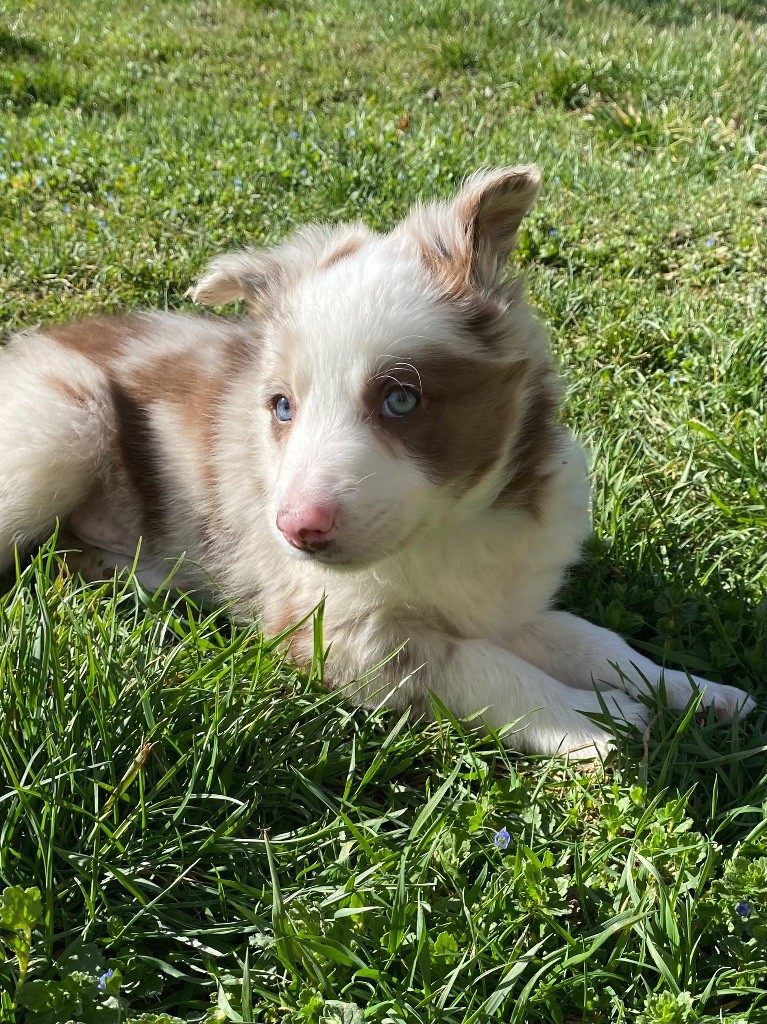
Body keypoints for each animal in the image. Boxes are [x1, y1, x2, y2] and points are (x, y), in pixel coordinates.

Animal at [0, 167, 753, 757]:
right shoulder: (332, 629)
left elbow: (594, 640)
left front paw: (697, 691)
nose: (296, 531)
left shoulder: (503, 599)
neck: (451, 528)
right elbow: (479, 665)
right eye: (281, 406)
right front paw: (593, 721)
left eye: (400, 399)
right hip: (62, 427)